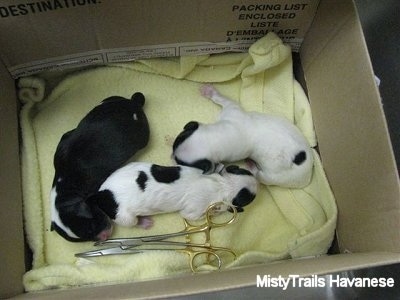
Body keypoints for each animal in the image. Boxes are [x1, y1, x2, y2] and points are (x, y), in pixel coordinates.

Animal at [50, 92, 150, 243]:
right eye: (82, 240)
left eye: (90, 227)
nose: (103, 238)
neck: (64, 183)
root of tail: (133, 103)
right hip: (110, 99)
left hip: (143, 136)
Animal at [86, 162, 258, 227]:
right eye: (251, 198)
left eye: (246, 171)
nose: (258, 185)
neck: (223, 185)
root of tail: (102, 193)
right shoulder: (194, 210)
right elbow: (193, 215)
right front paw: (215, 213)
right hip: (125, 217)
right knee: (131, 222)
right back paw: (144, 222)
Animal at [173, 84, 314, 188]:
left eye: (180, 162)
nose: (171, 156)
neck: (215, 138)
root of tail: (307, 177)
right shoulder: (232, 110)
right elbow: (223, 99)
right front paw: (210, 91)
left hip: (274, 177)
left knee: (260, 176)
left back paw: (252, 166)